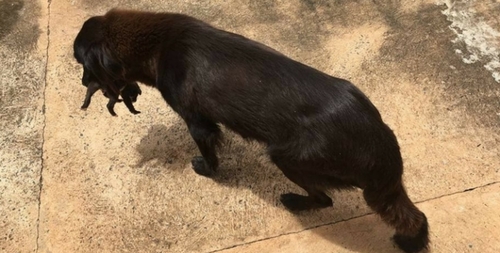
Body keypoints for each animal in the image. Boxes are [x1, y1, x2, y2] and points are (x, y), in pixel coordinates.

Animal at [73, 8, 430, 252]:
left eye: (81, 63)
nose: (82, 85)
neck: (158, 44)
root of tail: (383, 149)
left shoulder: (198, 122)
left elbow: (209, 154)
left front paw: (206, 170)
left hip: (290, 159)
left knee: (324, 199)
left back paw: (293, 202)